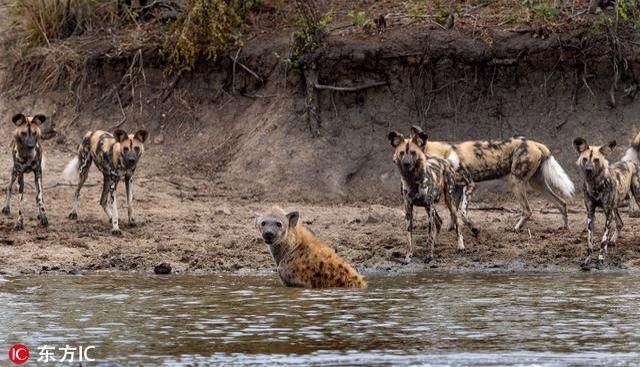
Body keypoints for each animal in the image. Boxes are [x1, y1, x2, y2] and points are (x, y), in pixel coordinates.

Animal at [384, 128, 470, 264]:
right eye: (402, 153)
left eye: (413, 153)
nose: (406, 163)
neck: (413, 180)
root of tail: (444, 161)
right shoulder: (409, 210)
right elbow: (409, 237)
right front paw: (408, 256)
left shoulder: (429, 208)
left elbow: (430, 233)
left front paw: (429, 256)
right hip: (430, 207)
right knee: (439, 222)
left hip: (448, 202)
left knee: (457, 224)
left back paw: (461, 246)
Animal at [416, 126, 576, 230]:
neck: (443, 154)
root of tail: (534, 143)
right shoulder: (457, 188)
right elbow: (453, 212)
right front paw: (451, 230)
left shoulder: (470, 185)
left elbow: (462, 212)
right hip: (537, 184)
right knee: (562, 204)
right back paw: (565, 229)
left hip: (516, 182)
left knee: (527, 210)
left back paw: (515, 228)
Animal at [572, 135, 640, 270]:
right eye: (585, 159)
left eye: (596, 160)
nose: (588, 170)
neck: (595, 185)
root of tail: (630, 162)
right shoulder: (590, 214)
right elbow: (589, 243)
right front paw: (587, 261)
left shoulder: (607, 215)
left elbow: (603, 242)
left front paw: (600, 261)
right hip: (614, 207)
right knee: (620, 223)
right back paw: (612, 241)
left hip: (636, 197)